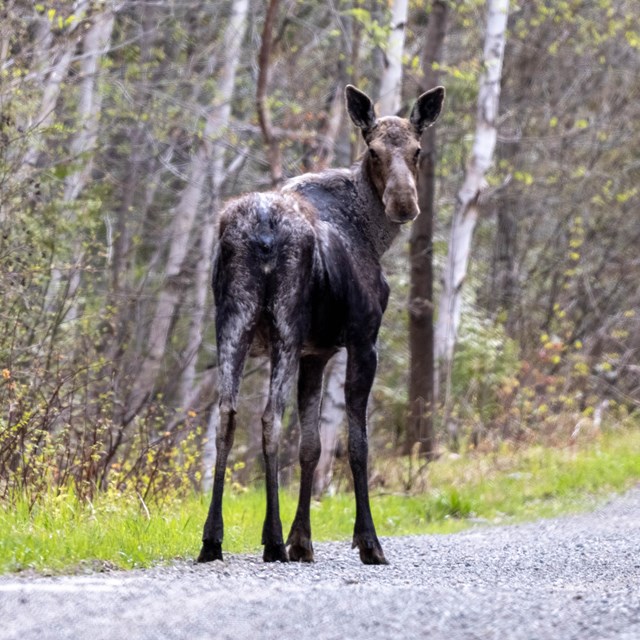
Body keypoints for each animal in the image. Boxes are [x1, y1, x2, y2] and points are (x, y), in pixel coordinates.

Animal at [199, 81, 444, 564]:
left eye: (417, 149)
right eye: (373, 152)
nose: (404, 203)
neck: (373, 235)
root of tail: (261, 227)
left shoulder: (317, 352)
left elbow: (311, 446)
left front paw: (303, 539)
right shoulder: (363, 339)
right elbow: (357, 443)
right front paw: (367, 541)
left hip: (232, 322)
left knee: (227, 414)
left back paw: (213, 538)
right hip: (284, 327)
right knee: (269, 417)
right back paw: (271, 539)